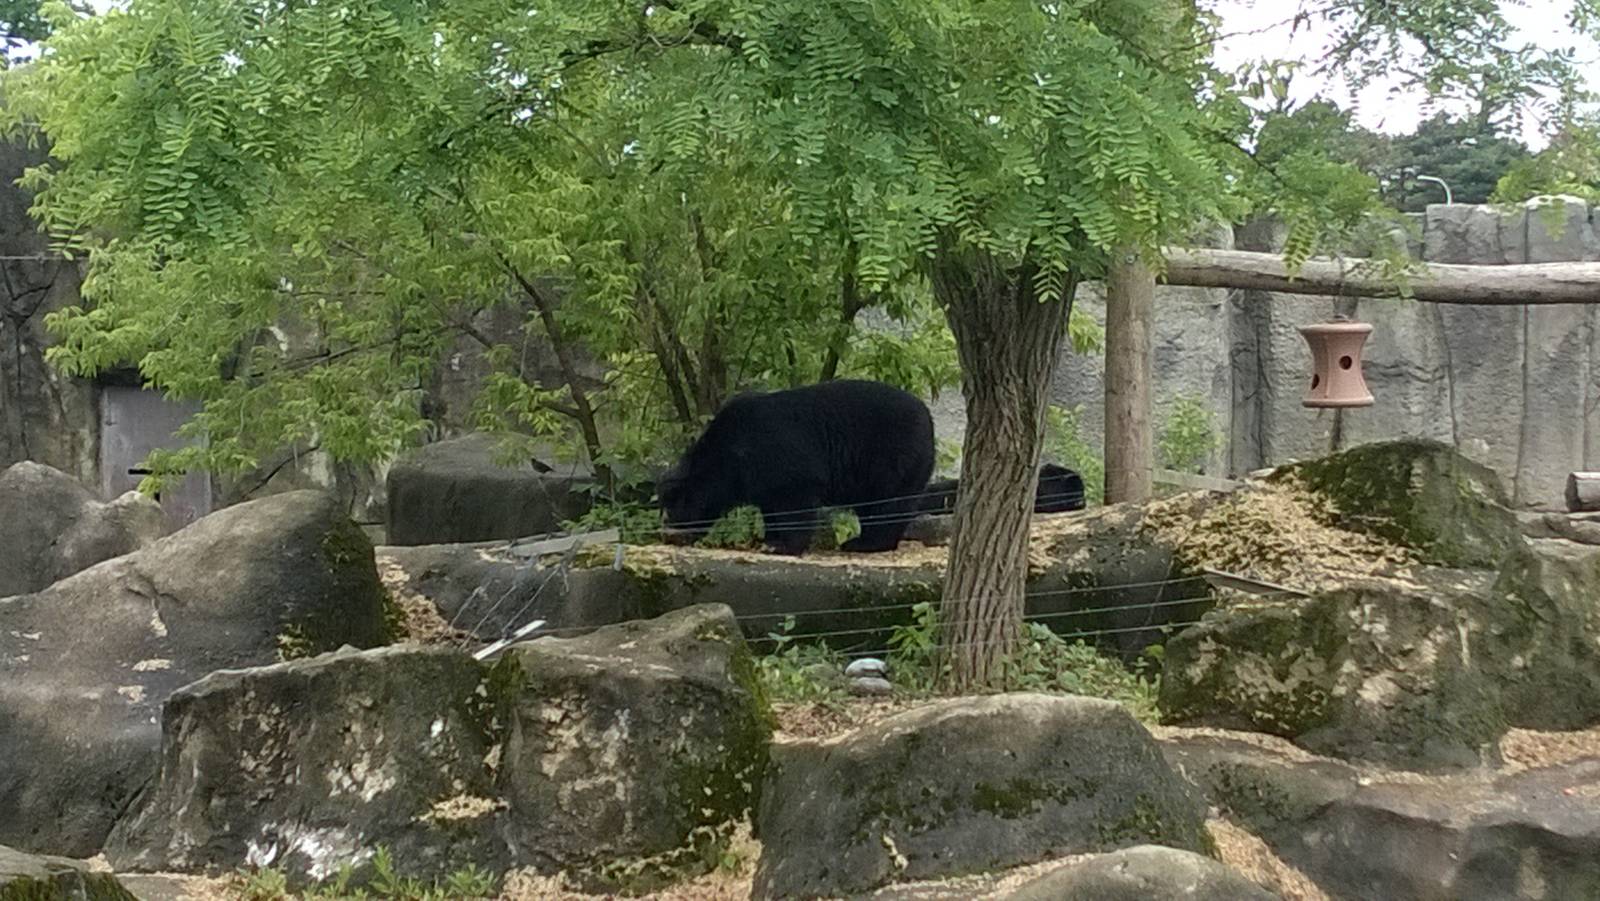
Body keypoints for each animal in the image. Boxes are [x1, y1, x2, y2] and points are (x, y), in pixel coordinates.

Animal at [656, 379, 936, 556]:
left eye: (675, 505)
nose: (669, 534)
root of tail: (928, 416)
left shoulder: (779, 454)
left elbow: (794, 499)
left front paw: (782, 546)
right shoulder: (755, 477)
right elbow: (768, 505)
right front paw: (769, 539)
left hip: (892, 456)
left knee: (889, 502)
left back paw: (865, 543)